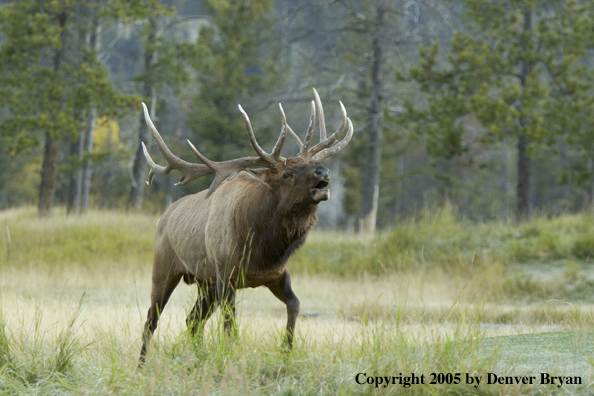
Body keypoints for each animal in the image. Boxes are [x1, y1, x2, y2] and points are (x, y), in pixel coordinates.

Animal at [139, 88, 352, 364]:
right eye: (286, 174)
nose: (322, 172)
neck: (261, 247)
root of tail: (162, 218)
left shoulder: (276, 274)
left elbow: (295, 305)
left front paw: (286, 350)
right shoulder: (225, 274)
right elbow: (230, 325)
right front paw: (232, 355)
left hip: (204, 283)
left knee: (192, 320)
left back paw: (199, 355)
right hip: (165, 268)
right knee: (151, 320)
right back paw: (141, 364)